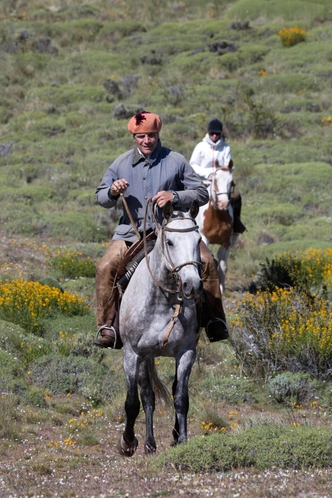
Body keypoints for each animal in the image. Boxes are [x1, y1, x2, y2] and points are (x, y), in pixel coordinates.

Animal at [118, 201, 204, 456]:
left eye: (198, 240)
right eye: (170, 242)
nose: (192, 285)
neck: (162, 301)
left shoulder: (186, 353)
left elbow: (181, 397)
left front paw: (183, 439)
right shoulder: (132, 354)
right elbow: (133, 402)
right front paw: (128, 442)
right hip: (144, 358)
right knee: (147, 396)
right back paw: (148, 443)